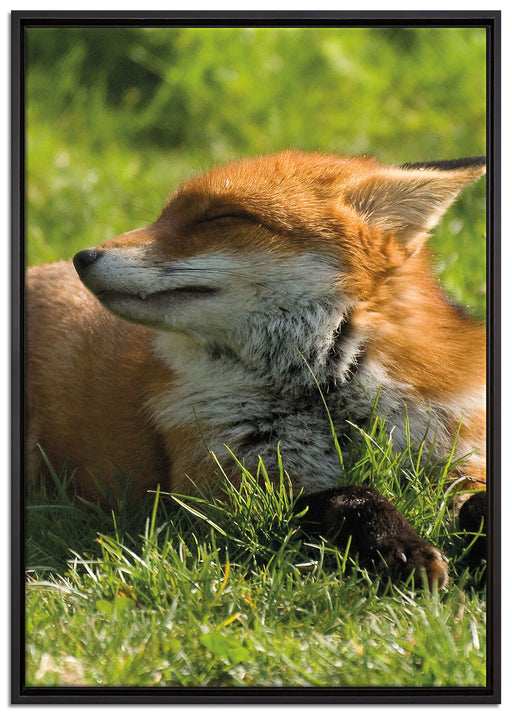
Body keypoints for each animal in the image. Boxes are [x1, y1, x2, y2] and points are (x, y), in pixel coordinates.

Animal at [26, 150, 488, 588]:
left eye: (219, 217)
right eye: (162, 217)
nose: (82, 257)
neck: (325, 401)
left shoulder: (459, 457)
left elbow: (479, 501)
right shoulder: (219, 495)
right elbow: (351, 496)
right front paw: (400, 547)